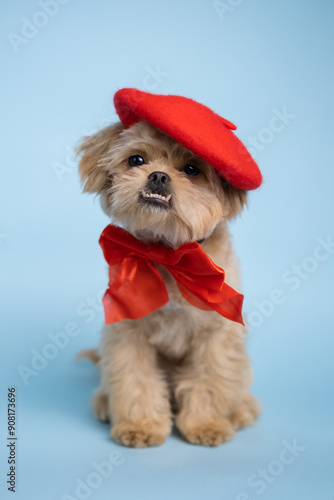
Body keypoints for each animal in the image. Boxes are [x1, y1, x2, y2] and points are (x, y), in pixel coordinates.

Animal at [77, 88, 260, 448]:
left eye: (192, 169)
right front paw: (140, 425)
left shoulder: (215, 336)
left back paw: (240, 410)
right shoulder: (127, 331)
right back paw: (104, 403)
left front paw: (207, 424)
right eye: (136, 160)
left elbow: (210, 381)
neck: (169, 254)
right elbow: (134, 380)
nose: (159, 176)